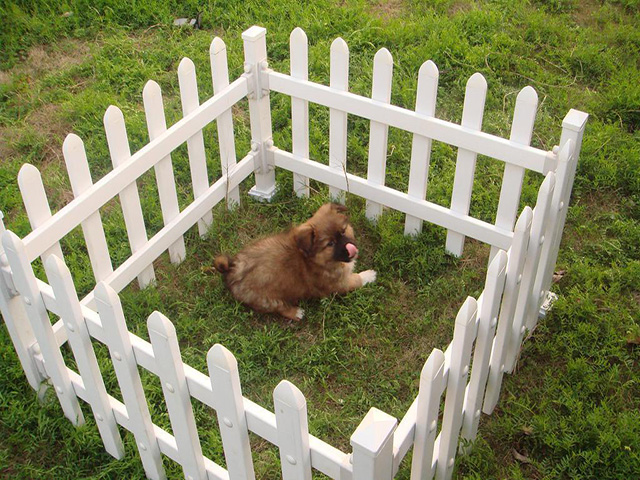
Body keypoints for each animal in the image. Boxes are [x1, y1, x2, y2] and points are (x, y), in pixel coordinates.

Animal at [215, 203, 376, 320]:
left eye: (343, 231)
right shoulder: (338, 284)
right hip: (267, 299)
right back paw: (296, 313)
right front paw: (369, 275)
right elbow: (356, 280)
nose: (351, 248)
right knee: (280, 308)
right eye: (330, 244)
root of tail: (232, 270)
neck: (316, 260)